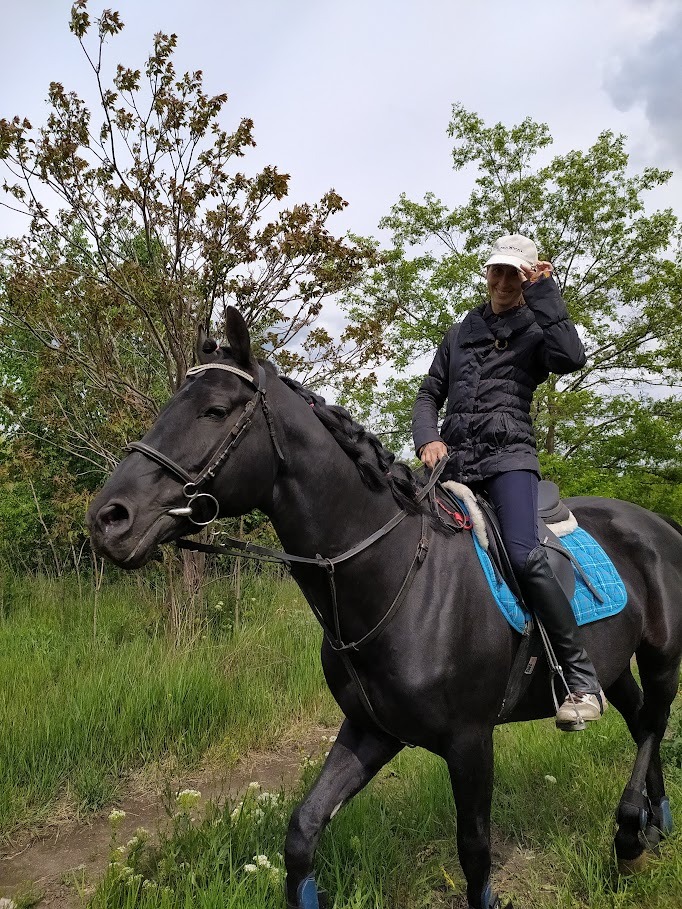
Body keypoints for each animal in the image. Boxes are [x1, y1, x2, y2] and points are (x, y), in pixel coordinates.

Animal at [87, 307, 682, 909]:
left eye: (214, 410)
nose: (109, 518)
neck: (402, 578)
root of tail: (658, 524)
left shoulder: (470, 741)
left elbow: (475, 851)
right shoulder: (371, 730)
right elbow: (302, 831)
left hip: (661, 658)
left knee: (654, 723)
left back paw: (630, 832)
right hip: (612, 666)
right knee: (639, 723)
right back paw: (654, 822)